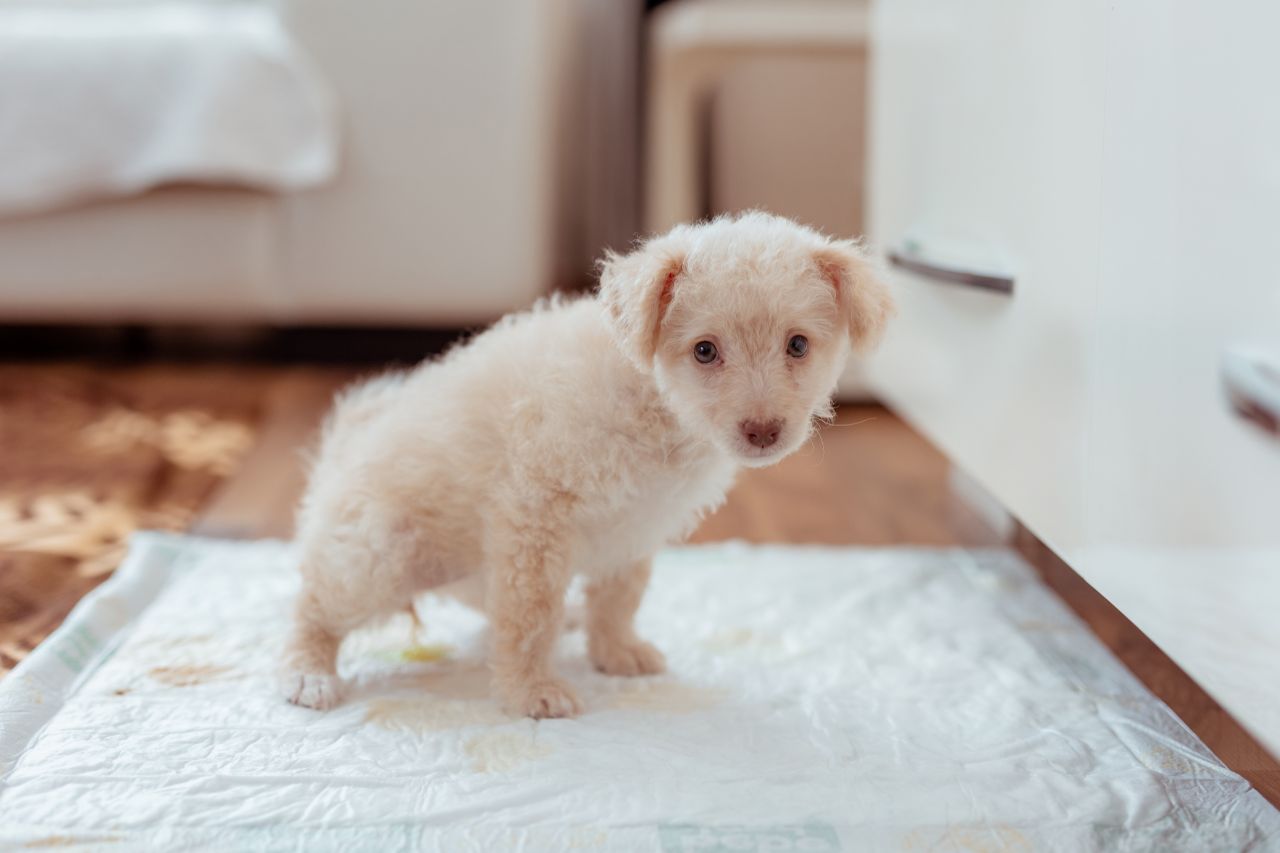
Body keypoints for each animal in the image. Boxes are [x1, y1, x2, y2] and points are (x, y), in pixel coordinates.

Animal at [279, 208, 890, 712]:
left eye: (797, 345)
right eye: (705, 351)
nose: (763, 431)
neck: (653, 406)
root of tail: (338, 455)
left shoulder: (634, 527)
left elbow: (618, 598)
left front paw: (616, 654)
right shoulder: (533, 514)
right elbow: (531, 613)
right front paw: (532, 692)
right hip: (378, 554)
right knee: (312, 604)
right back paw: (308, 675)